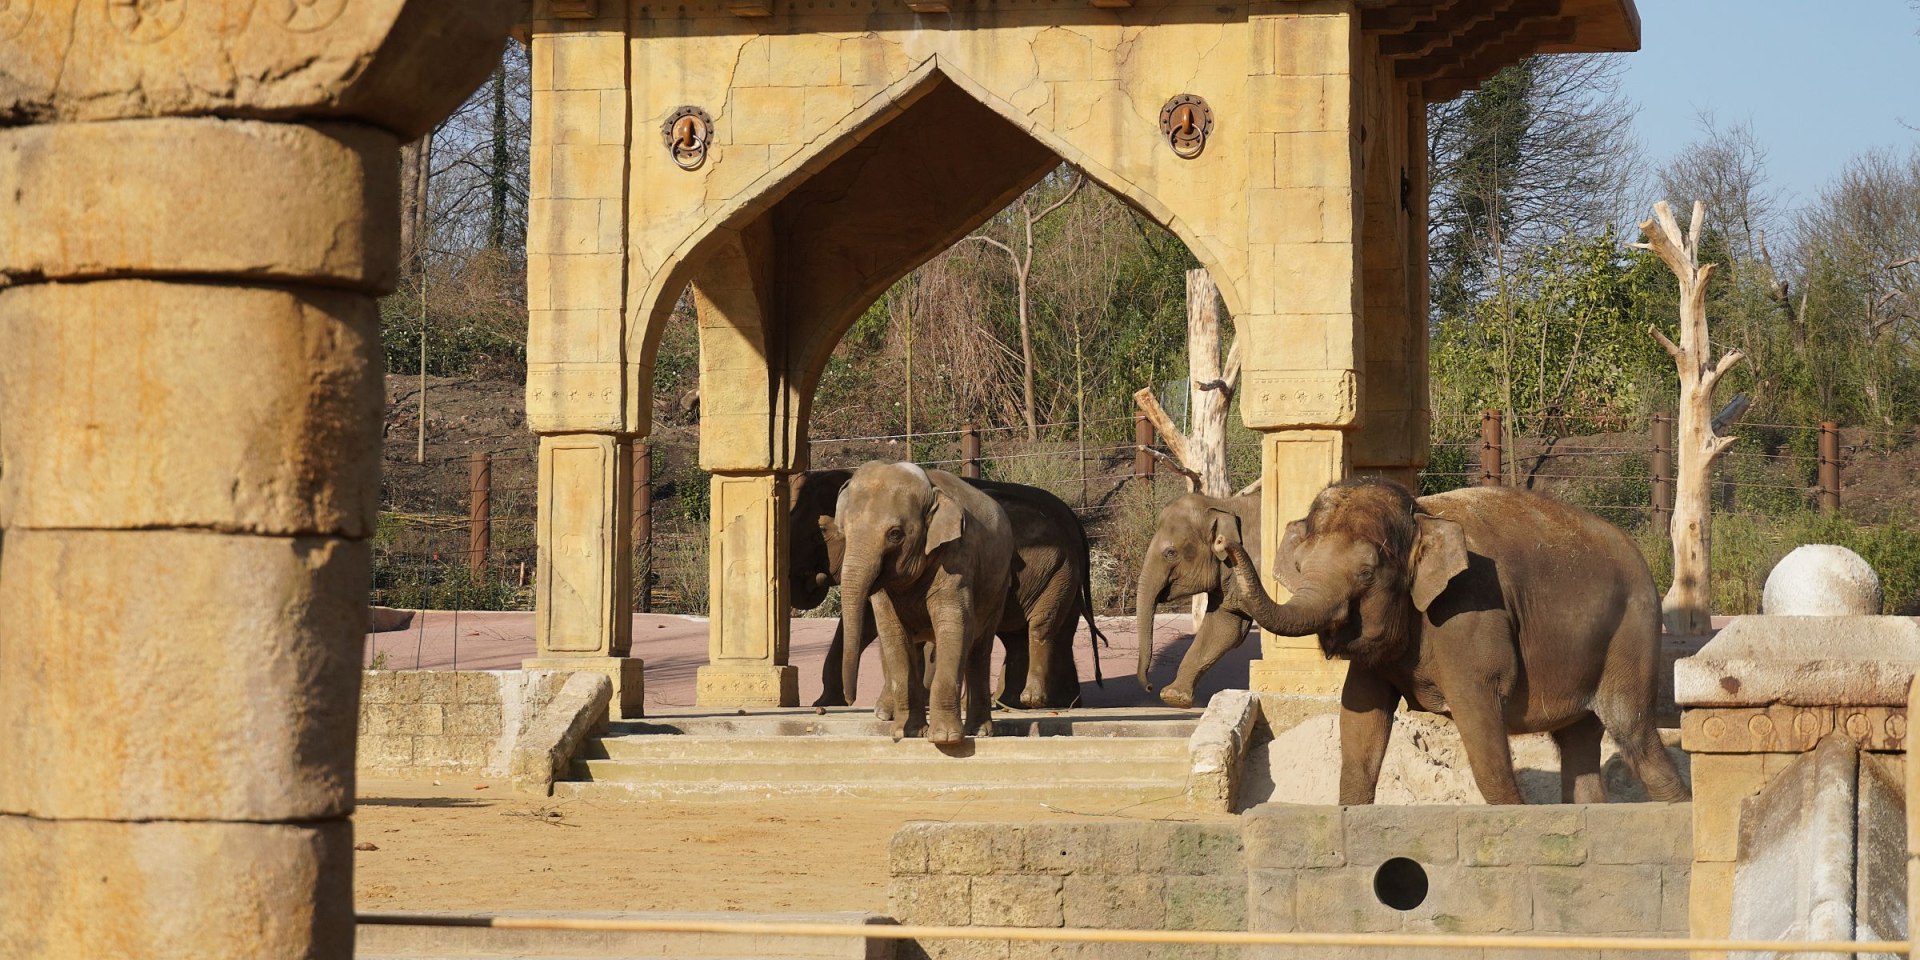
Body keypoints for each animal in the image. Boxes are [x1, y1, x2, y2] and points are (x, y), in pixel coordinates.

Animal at [787, 468, 1105, 710]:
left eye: (822, 531)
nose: (852, 700)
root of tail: (1073, 521)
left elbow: (871, 624)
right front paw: (827, 703)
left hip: (1056, 572)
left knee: (1040, 627)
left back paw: (1031, 702)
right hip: (1058, 576)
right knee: (1030, 634)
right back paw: (1036, 703)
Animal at [829, 460, 1013, 744]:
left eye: (895, 534)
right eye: (843, 532)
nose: (849, 701)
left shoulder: (957, 555)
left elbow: (954, 624)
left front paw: (945, 738)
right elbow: (892, 633)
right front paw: (907, 733)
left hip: (999, 587)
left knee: (980, 647)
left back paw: (979, 731)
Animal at [1213, 478, 1697, 802]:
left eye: (1367, 573)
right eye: (1299, 566)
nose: (1223, 544)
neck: (1419, 514)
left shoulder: (1470, 615)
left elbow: (1484, 739)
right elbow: (1360, 725)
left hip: (1632, 633)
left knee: (1633, 731)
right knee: (1578, 741)